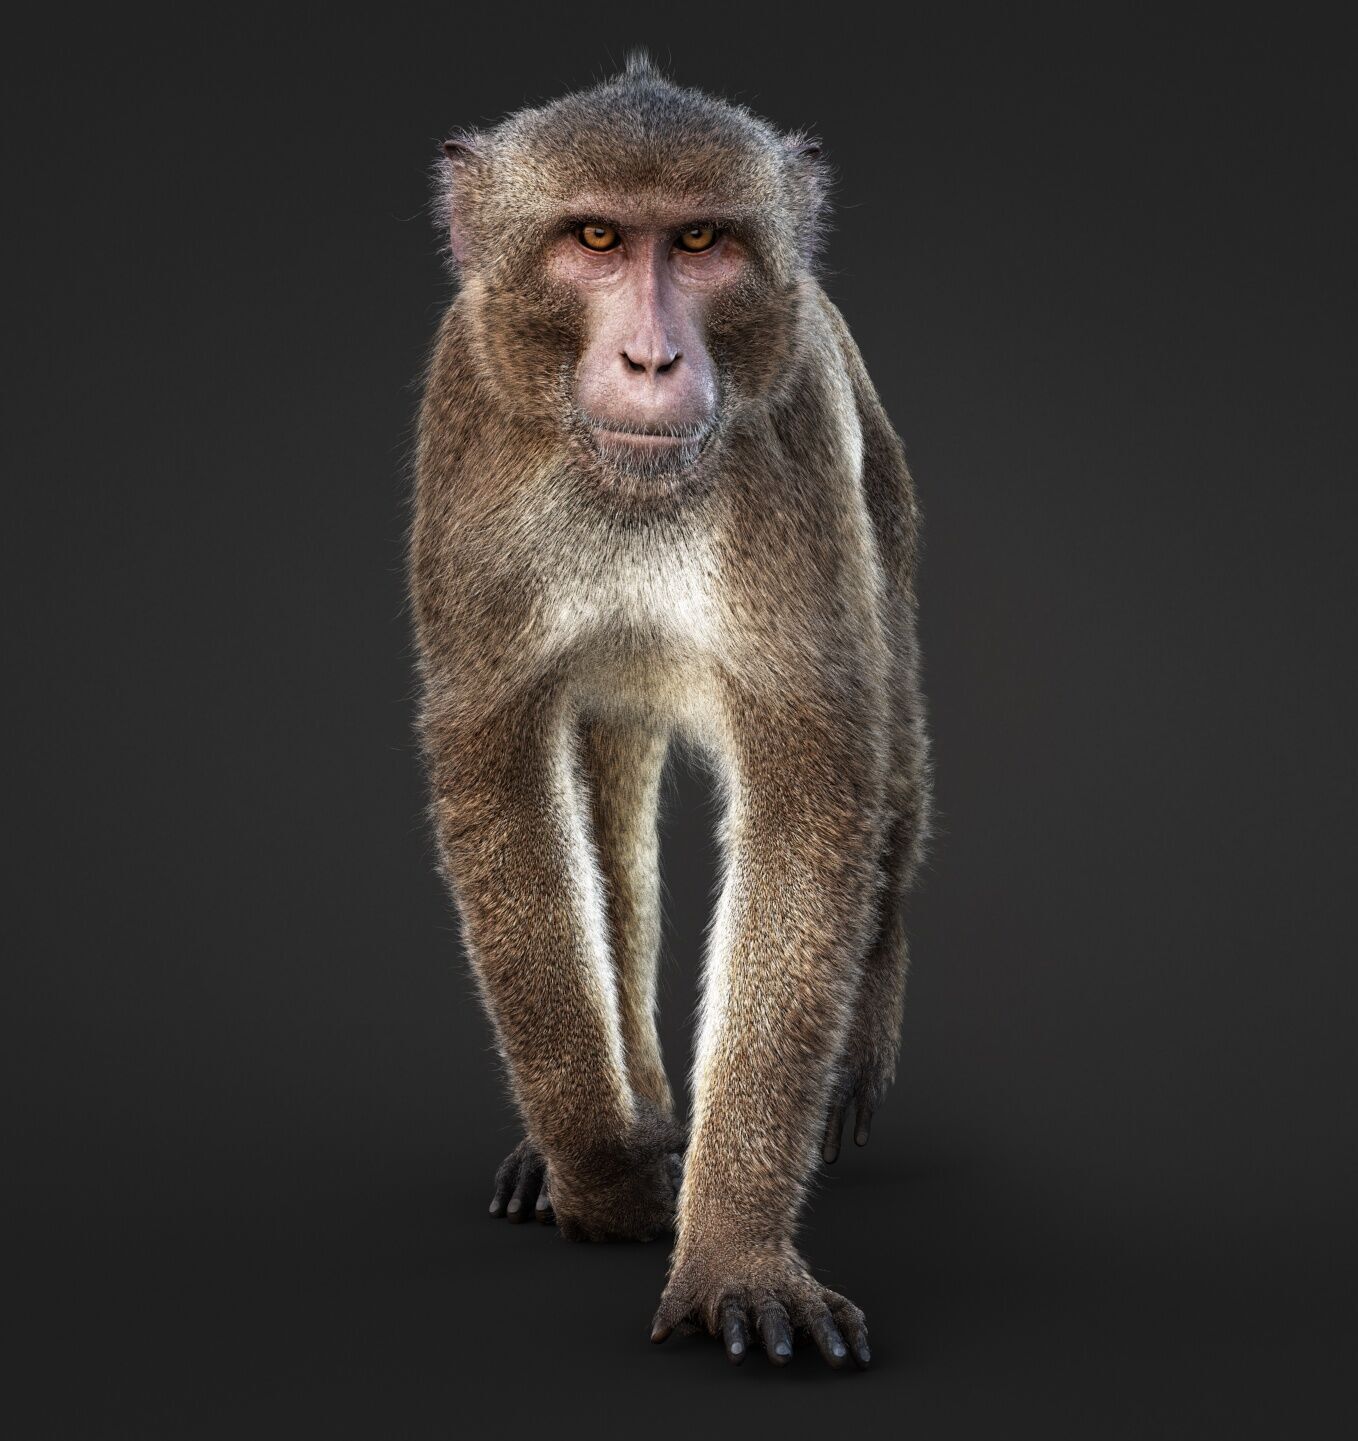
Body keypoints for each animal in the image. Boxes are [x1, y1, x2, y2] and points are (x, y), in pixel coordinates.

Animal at [409, 52, 930, 1370]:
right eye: (595, 237)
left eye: (698, 241)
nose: (651, 361)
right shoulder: (465, 425)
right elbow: (502, 778)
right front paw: (600, 1170)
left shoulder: (796, 451)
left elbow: (813, 799)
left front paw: (732, 1251)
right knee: (601, 786)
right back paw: (631, 1106)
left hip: (885, 503)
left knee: (894, 768)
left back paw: (856, 1040)